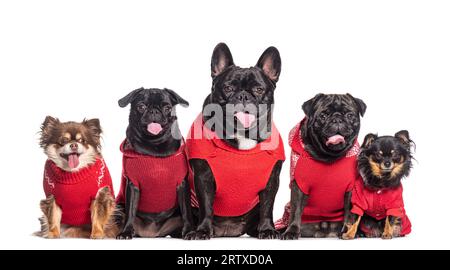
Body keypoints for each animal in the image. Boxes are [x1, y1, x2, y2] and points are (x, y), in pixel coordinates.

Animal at [115, 87, 192, 239]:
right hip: (118, 208)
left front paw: (188, 231)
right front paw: (126, 231)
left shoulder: (182, 184)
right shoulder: (133, 186)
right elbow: (130, 211)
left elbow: (186, 211)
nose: (154, 111)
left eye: (167, 108)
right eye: (141, 107)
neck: (154, 146)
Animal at [276, 93, 368, 238]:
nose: (337, 119)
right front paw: (291, 231)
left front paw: (347, 231)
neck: (328, 157)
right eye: (323, 115)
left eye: (349, 115)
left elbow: (350, 214)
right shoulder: (299, 186)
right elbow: (296, 210)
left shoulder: (351, 190)